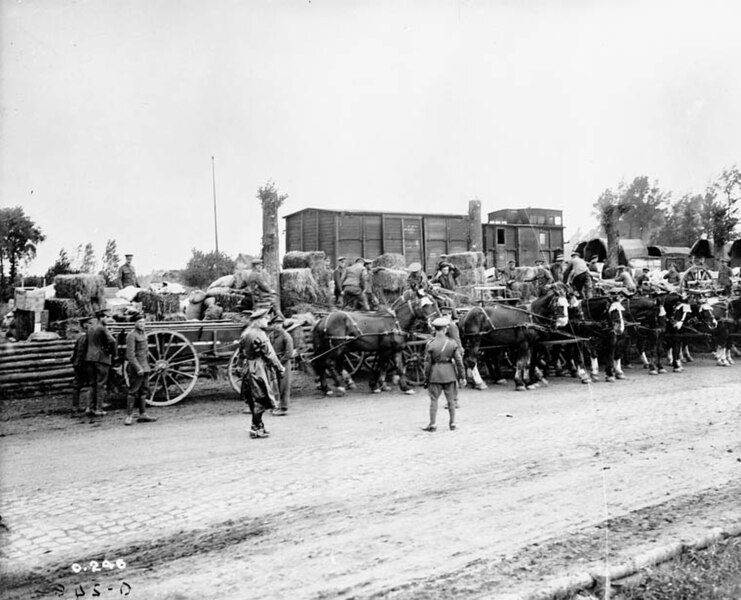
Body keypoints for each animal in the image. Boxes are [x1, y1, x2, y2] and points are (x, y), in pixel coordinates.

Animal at [310, 292, 440, 396]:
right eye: (425, 306)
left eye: (433, 304)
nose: (435, 323)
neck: (395, 323)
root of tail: (321, 320)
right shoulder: (385, 350)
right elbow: (381, 366)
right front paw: (376, 385)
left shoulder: (396, 350)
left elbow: (397, 367)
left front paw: (404, 387)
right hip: (337, 348)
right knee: (328, 363)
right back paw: (340, 385)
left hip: (325, 348)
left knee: (320, 363)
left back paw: (326, 388)